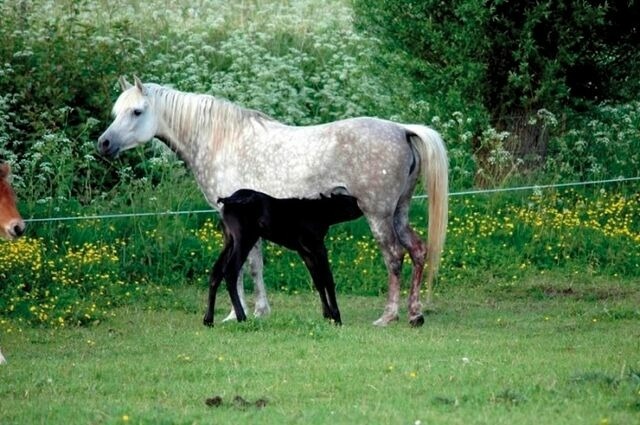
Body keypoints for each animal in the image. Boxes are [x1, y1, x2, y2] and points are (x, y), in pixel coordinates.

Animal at [205, 188, 364, 324]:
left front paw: (327, 316)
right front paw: (336, 318)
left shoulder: (305, 252)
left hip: (229, 241)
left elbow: (318, 281)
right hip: (244, 239)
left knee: (216, 272)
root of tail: (229, 199)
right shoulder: (318, 247)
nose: (362, 208)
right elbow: (328, 280)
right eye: (352, 201)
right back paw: (241, 317)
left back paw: (208, 320)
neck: (317, 212)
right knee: (230, 271)